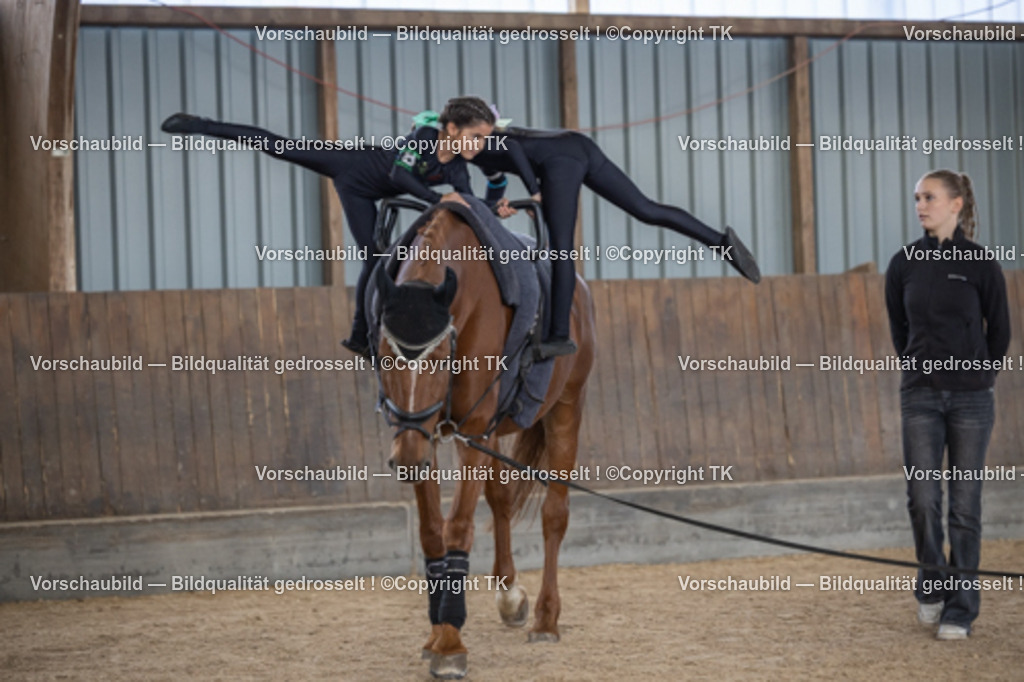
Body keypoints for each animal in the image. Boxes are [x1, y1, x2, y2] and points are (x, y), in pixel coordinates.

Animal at [372, 202, 596, 679]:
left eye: (441, 358)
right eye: (383, 355)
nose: (404, 461)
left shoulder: (472, 429)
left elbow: (458, 526)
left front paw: (450, 645)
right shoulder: (427, 437)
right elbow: (432, 531)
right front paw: (435, 635)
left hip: (567, 406)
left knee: (554, 514)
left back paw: (546, 619)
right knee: (500, 499)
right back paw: (510, 597)